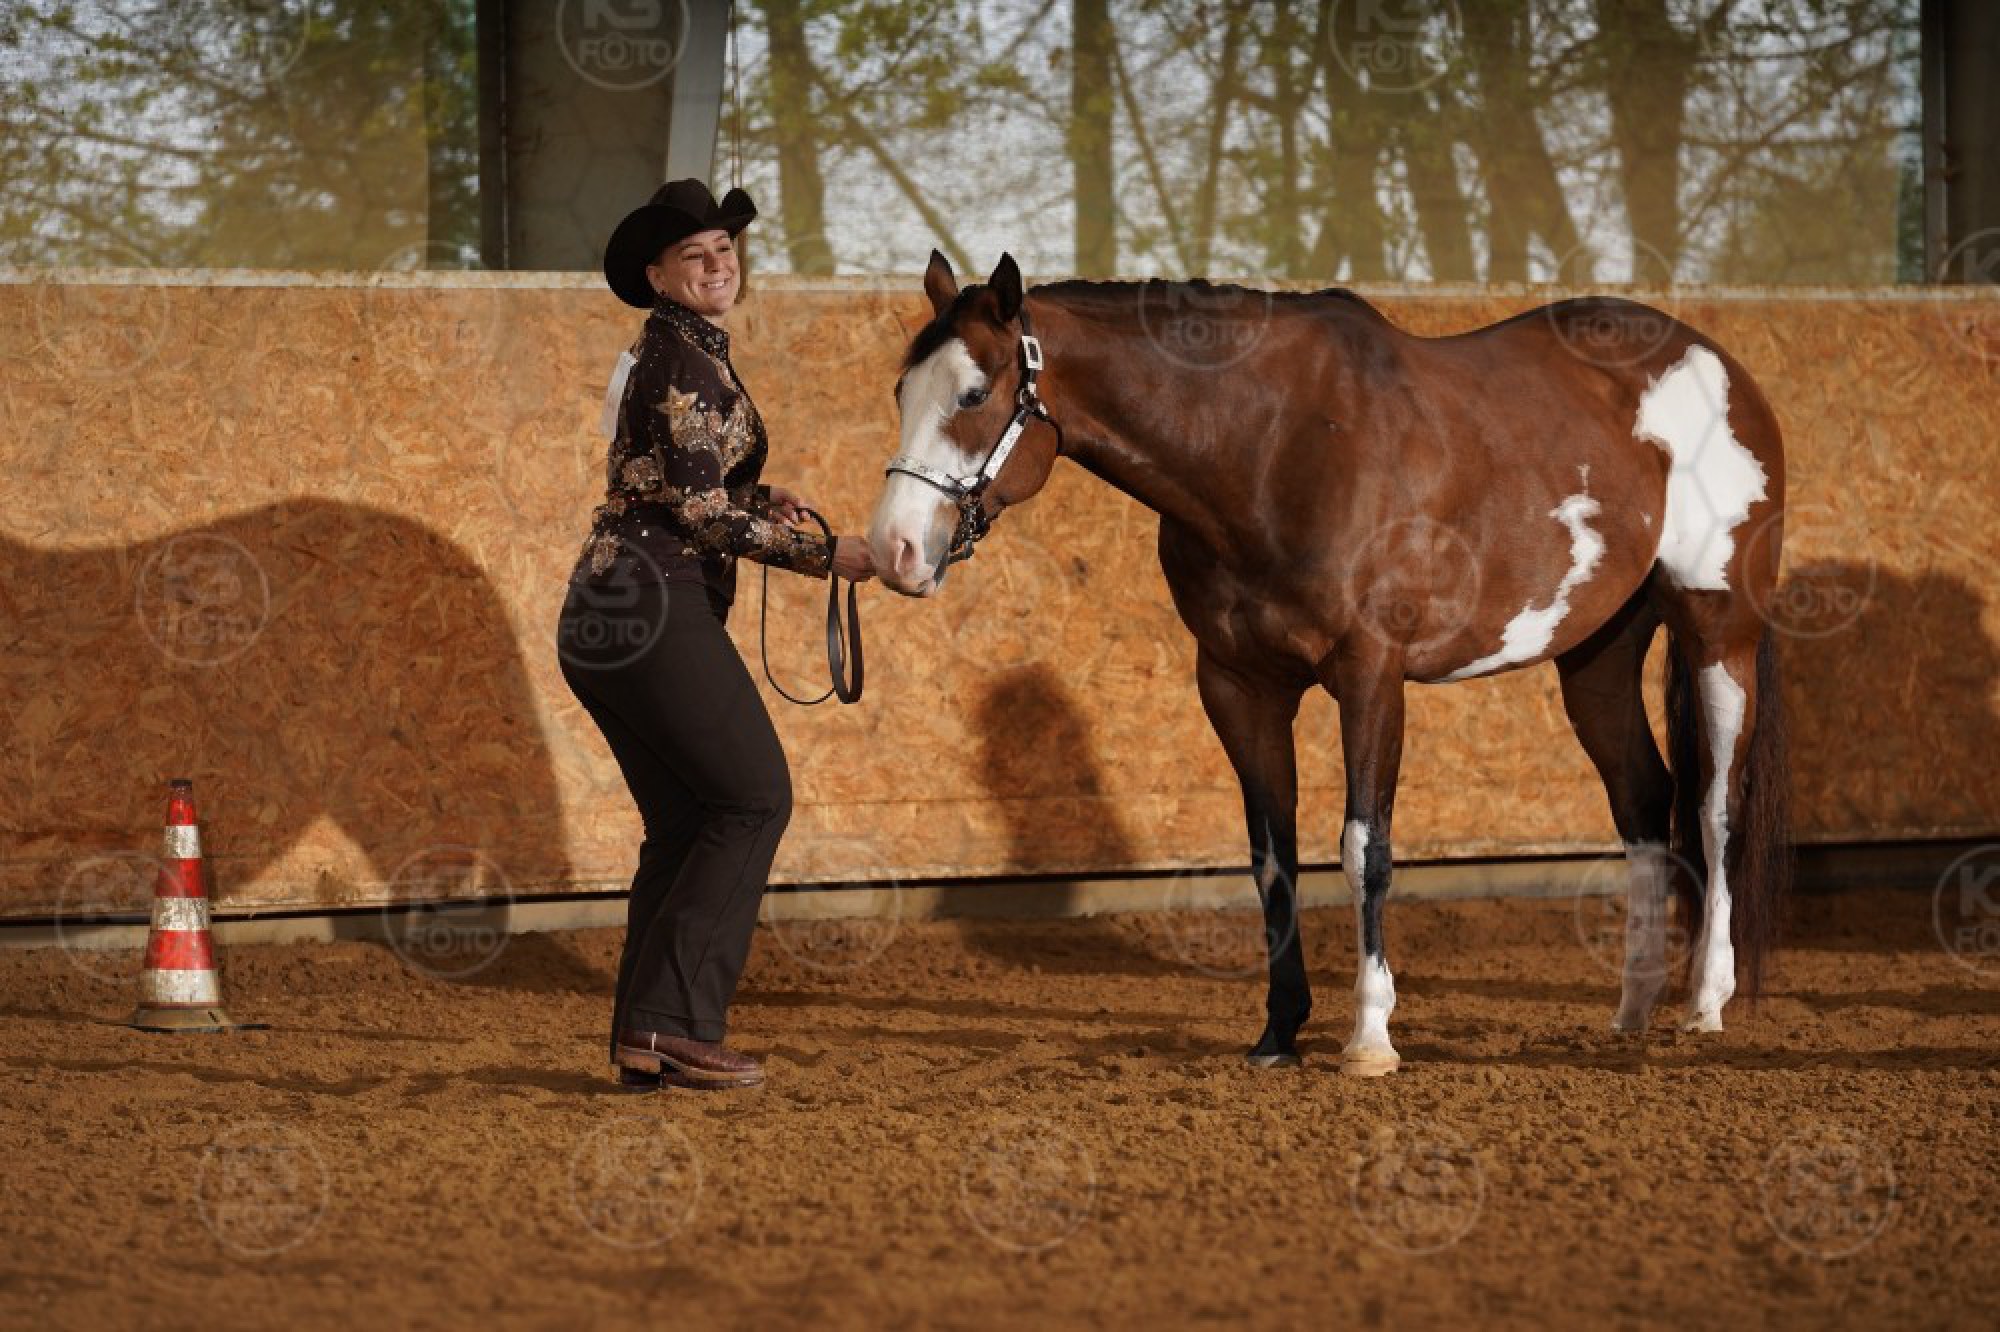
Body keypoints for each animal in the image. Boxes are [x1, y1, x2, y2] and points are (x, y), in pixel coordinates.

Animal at [868, 251, 1790, 1075]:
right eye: (901, 392)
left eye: (974, 394)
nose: (894, 550)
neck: (1271, 447)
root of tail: (1721, 367)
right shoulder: (1238, 688)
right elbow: (1272, 858)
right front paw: (1279, 1034)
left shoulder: (1371, 676)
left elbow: (1364, 849)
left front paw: (1370, 1038)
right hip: (1597, 654)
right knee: (1644, 801)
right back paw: (1634, 1008)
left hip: (1720, 633)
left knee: (1715, 807)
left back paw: (1705, 1003)